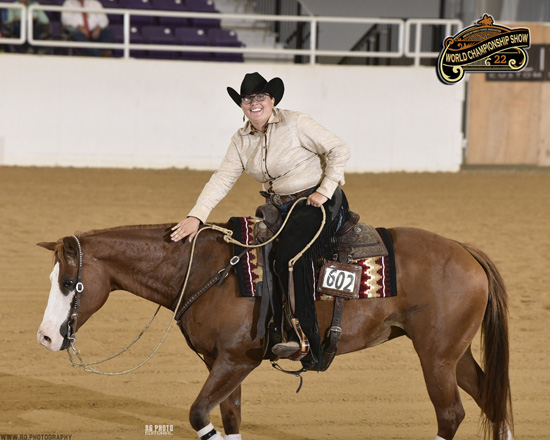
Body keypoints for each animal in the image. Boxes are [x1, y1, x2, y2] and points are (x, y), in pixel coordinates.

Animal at [36, 223, 516, 440]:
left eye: (69, 282)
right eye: (52, 278)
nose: (45, 338)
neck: (207, 271)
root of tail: (467, 252)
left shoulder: (237, 360)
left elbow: (199, 415)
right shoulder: (221, 364)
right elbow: (230, 417)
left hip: (436, 358)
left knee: (451, 415)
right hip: (454, 356)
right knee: (491, 398)